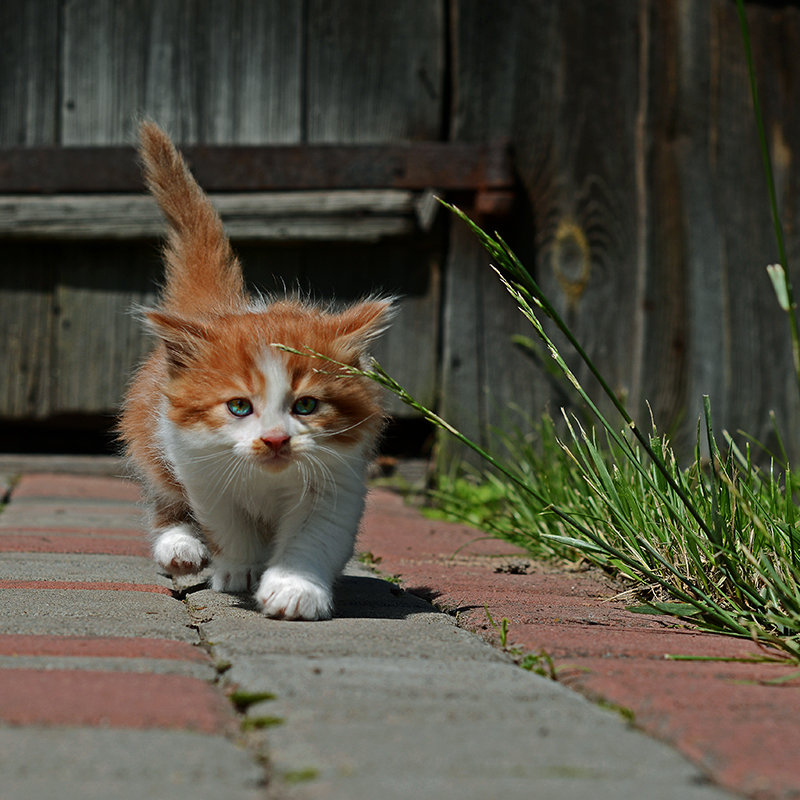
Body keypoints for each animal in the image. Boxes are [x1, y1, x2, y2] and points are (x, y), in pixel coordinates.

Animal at [119, 120, 394, 620]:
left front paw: (294, 588)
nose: (275, 440)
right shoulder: (201, 468)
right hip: (153, 440)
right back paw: (179, 548)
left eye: (306, 406)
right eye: (239, 407)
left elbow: (315, 535)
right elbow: (228, 524)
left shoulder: (338, 478)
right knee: (165, 500)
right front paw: (239, 570)